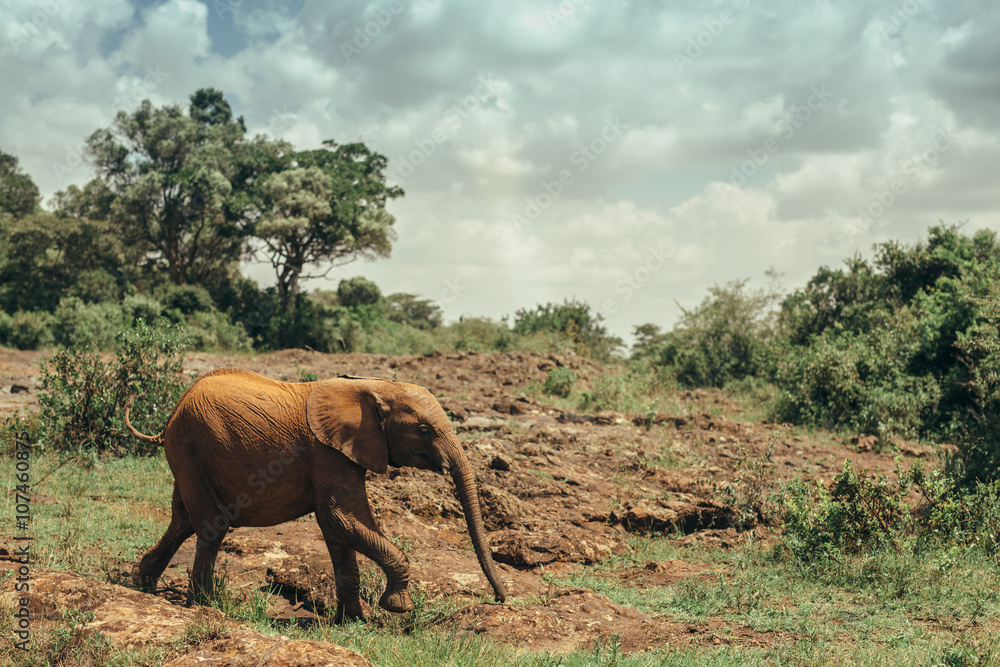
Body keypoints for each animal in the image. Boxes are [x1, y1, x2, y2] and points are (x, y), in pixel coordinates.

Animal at [124, 367, 507, 621]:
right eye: (424, 431)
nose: (501, 599)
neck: (374, 385)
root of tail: (171, 414)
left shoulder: (344, 453)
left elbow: (341, 533)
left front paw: (354, 621)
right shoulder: (328, 454)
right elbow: (339, 520)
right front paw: (398, 607)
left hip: (191, 455)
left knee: (183, 521)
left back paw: (143, 586)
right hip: (191, 446)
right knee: (211, 526)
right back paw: (204, 606)